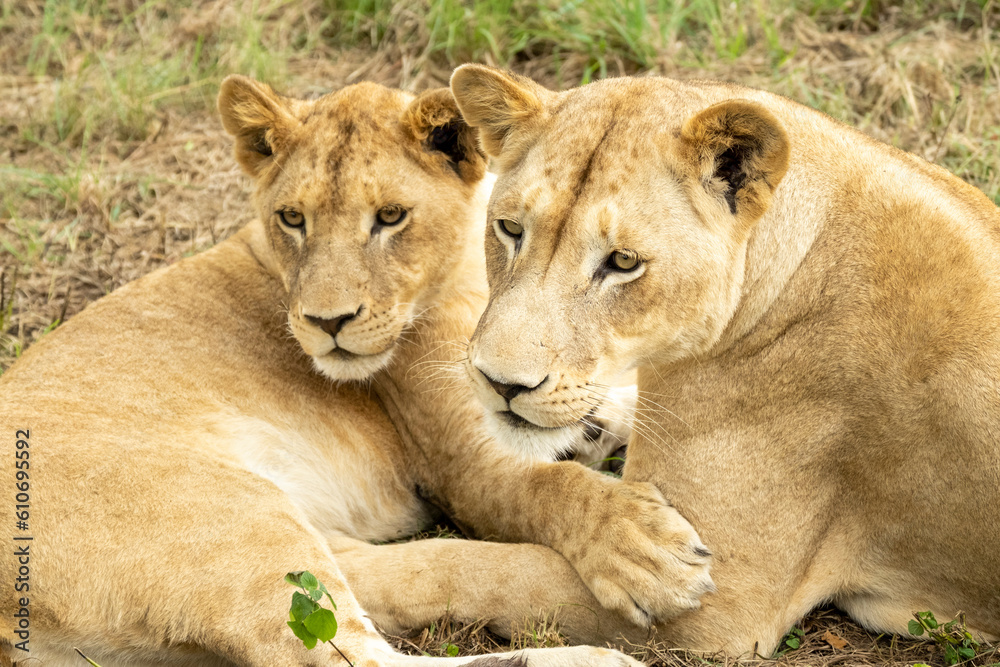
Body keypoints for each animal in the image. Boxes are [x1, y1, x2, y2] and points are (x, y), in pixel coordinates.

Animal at [0, 75, 717, 667]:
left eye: (391, 217)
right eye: (292, 218)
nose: (328, 321)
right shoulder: (462, 462)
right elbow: (551, 486)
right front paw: (643, 548)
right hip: (223, 512)